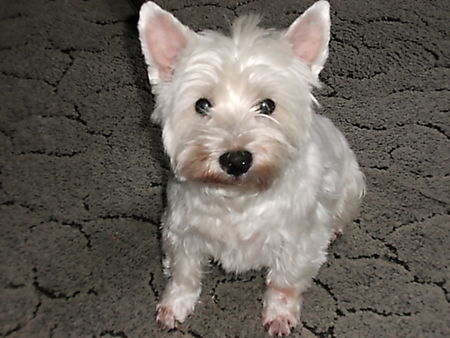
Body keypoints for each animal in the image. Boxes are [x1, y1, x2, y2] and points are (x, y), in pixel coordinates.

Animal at [138, 1, 366, 336]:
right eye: (202, 105)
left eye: (268, 105)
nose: (236, 160)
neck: (239, 197)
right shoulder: (182, 231)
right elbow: (184, 273)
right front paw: (174, 306)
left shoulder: (298, 241)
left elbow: (285, 282)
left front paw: (280, 315)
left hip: (350, 184)